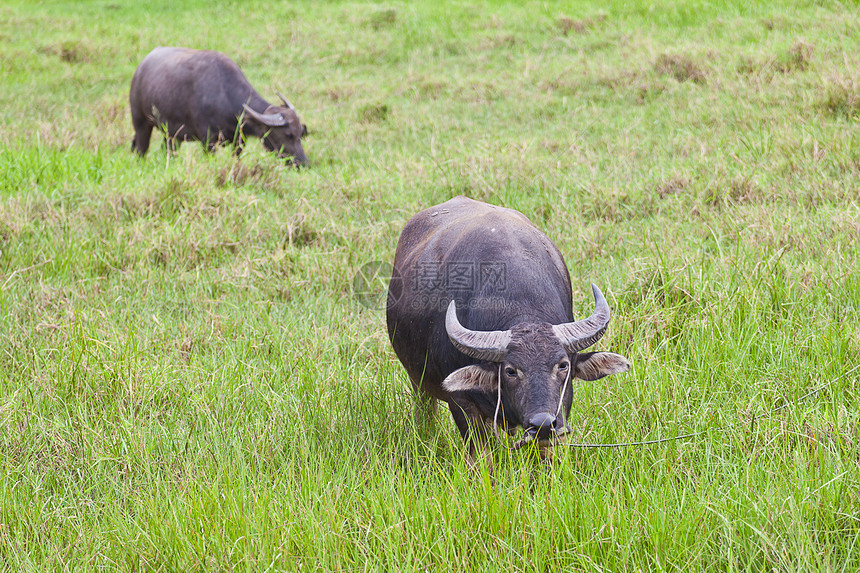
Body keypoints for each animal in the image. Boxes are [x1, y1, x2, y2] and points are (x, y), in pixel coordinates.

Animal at [129, 47, 308, 165]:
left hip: (172, 135)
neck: (224, 95)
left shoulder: (239, 141)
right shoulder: (207, 140)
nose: (303, 163)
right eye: (288, 134)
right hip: (141, 124)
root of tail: (140, 69)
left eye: (300, 133)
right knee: (140, 150)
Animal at [386, 197, 628, 460]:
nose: (543, 424)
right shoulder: (461, 403)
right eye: (511, 371)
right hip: (417, 381)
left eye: (563, 365)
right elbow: (481, 456)